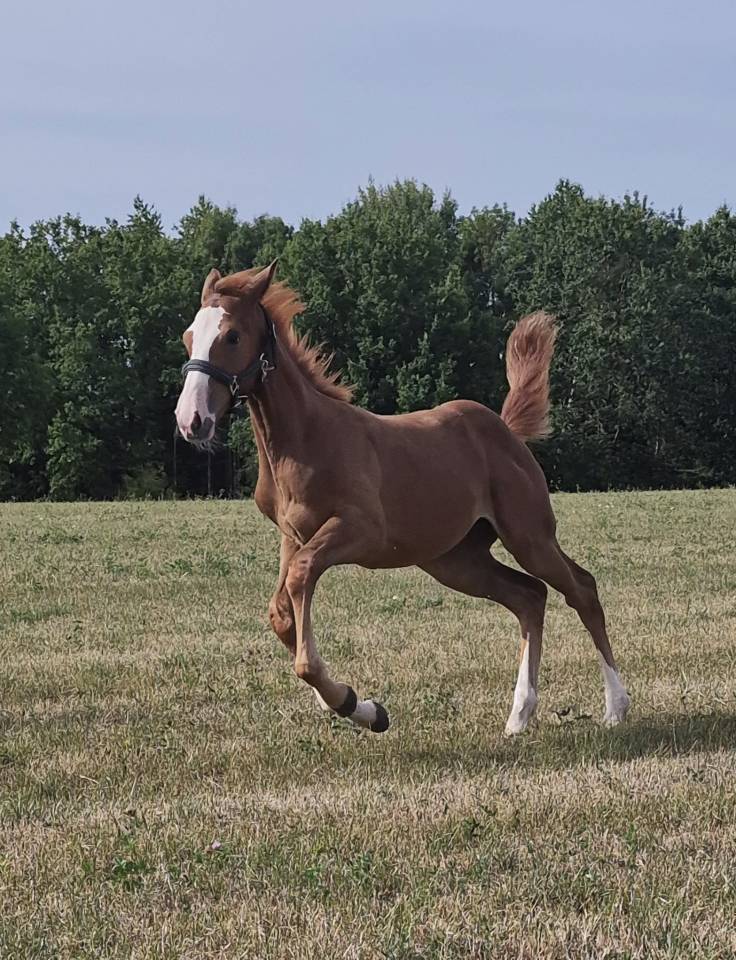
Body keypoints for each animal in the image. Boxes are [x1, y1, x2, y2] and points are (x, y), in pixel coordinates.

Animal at [174, 262, 630, 735]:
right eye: (188, 337)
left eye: (232, 336)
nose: (191, 420)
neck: (304, 440)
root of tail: (505, 430)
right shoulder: (292, 536)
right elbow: (281, 614)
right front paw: (352, 703)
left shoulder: (359, 530)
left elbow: (300, 586)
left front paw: (354, 703)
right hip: (456, 560)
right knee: (529, 597)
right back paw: (519, 715)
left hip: (528, 535)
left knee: (581, 588)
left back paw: (615, 707)